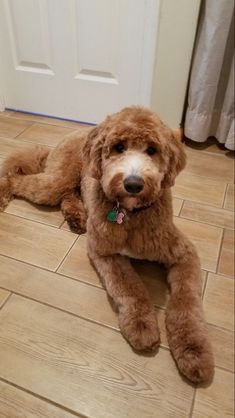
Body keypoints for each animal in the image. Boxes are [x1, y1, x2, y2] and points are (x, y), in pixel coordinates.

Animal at [0, 107, 213, 382]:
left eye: (152, 149)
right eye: (118, 147)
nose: (133, 184)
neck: (130, 215)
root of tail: (78, 132)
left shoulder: (183, 252)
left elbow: (187, 302)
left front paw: (193, 350)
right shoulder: (104, 252)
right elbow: (129, 288)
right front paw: (142, 326)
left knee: (68, 196)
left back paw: (77, 218)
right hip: (55, 181)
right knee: (17, 179)